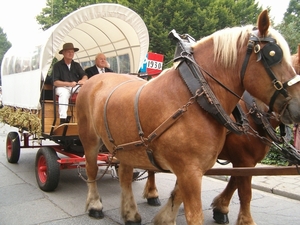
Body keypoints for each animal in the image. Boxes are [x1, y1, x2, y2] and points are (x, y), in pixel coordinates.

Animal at [76, 11, 300, 225]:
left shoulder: (199, 168)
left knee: (124, 175)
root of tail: (96, 78)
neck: (200, 95)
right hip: (90, 139)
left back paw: (131, 213)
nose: (297, 105)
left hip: (127, 147)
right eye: (273, 55)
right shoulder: (198, 169)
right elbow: (236, 196)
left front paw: (169, 217)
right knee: (92, 169)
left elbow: (182, 193)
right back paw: (96, 205)